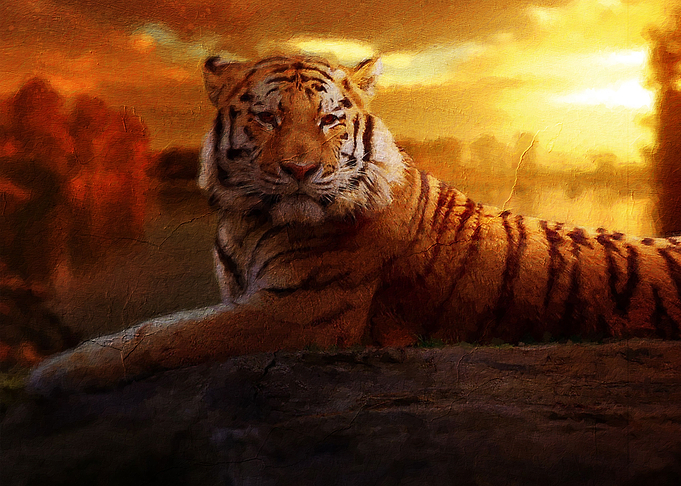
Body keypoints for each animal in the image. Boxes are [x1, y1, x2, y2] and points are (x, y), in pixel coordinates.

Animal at [28, 54, 681, 394]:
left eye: (329, 120)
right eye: (268, 118)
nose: (300, 169)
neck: (245, 221)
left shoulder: (298, 312)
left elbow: (164, 333)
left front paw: (54, 372)